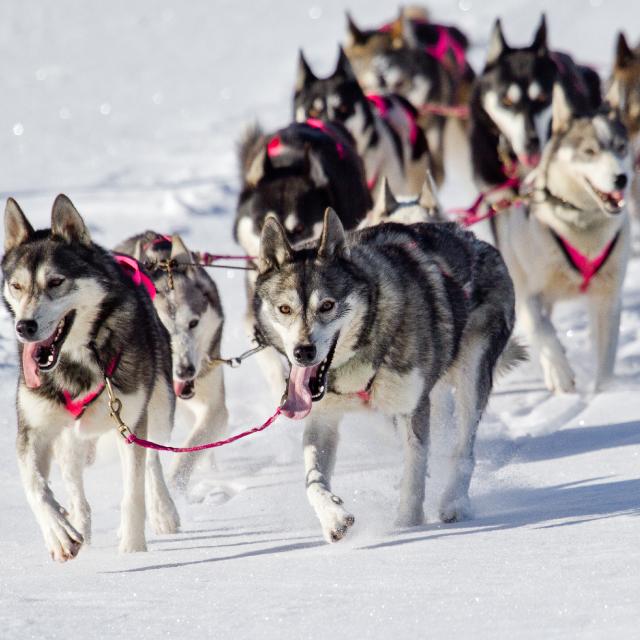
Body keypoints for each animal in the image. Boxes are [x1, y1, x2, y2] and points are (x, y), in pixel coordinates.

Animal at [1, 196, 180, 560]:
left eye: (56, 282)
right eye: (17, 286)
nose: (24, 327)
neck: (74, 362)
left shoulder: (132, 423)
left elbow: (134, 491)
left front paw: (133, 548)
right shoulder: (34, 430)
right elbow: (33, 484)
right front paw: (58, 532)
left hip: (159, 409)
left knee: (153, 461)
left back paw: (163, 511)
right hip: (69, 439)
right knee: (75, 486)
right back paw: (78, 525)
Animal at [252, 208, 516, 544]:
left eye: (327, 305)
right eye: (285, 308)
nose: (303, 352)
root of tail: (476, 242)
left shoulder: (411, 408)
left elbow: (415, 474)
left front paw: (408, 526)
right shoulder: (323, 419)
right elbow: (313, 481)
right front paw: (333, 518)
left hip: (472, 374)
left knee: (463, 448)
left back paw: (455, 501)